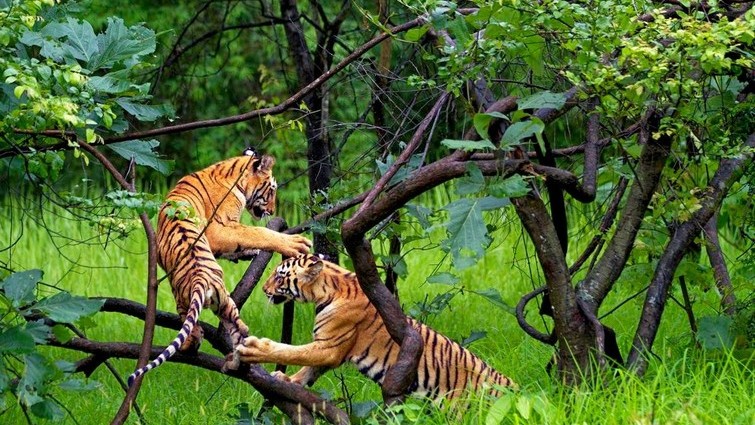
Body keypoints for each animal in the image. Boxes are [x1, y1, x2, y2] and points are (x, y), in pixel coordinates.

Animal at [128, 147, 312, 386]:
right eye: (271, 190)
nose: (272, 211)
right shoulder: (219, 228)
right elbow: (256, 232)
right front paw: (294, 243)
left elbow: (243, 241)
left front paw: (249, 252)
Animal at [236, 253, 520, 402]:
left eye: (280, 276)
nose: (264, 289)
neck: (326, 289)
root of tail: (515, 388)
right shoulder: (330, 348)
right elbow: (308, 369)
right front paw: (287, 380)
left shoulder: (330, 346)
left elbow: (292, 352)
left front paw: (255, 349)